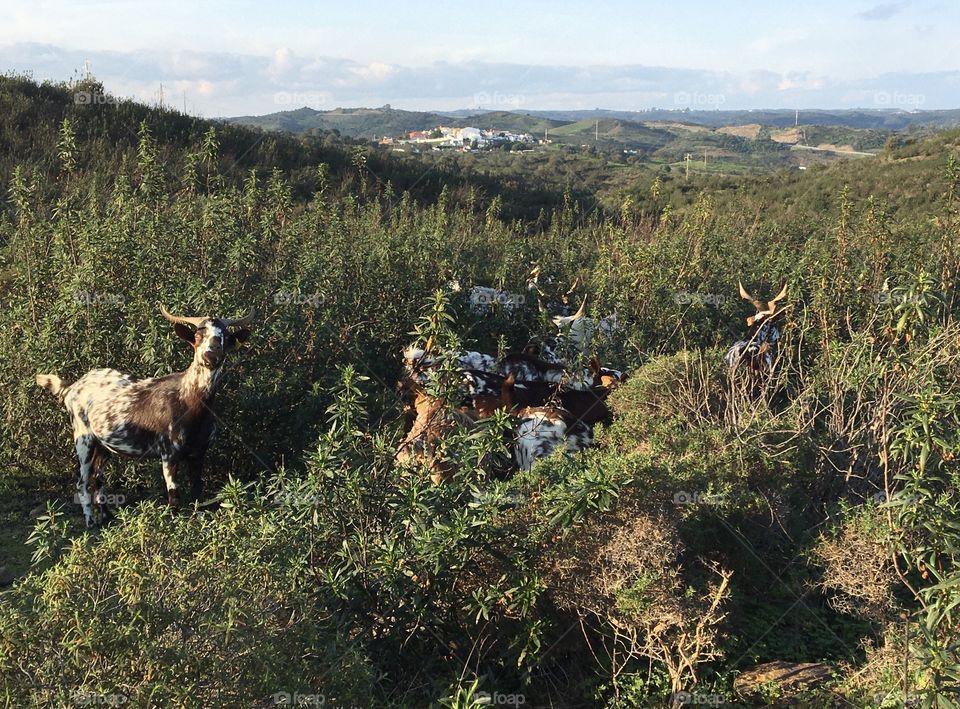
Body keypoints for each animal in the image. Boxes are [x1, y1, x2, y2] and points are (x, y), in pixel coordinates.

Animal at [37, 306, 254, 527]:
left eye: (224, 336)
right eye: (197, 336)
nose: (211, 356)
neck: (189, 402)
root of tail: (71, 387)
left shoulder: (199, 453)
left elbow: (197, 493)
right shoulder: (169, 454)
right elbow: (174, 498)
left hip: (104, 445)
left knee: (98, 477)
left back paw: (108, 516)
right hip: (83, 438)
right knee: (82, 482)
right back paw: (91, 523)